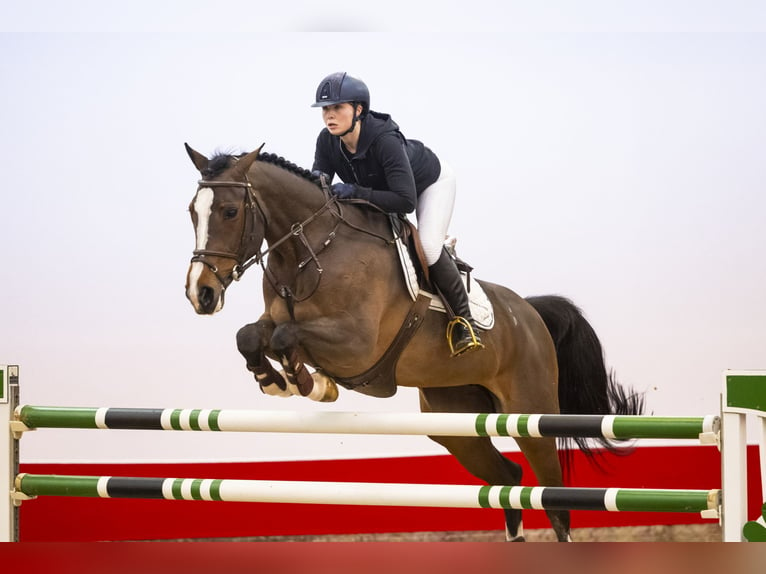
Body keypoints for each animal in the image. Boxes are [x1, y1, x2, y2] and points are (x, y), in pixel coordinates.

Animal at [183, 144, 644, 544]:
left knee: (553, 499)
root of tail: (529, 311)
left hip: (531, 414)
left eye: (229, 211)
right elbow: (251, 335)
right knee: (508, 479)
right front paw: (277, 380)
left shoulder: (357, 345)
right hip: (455, 425)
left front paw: (309, 383)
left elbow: (286, 337)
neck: (311, 251)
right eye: (192, 212)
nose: (200, 293)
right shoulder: (277, 320)